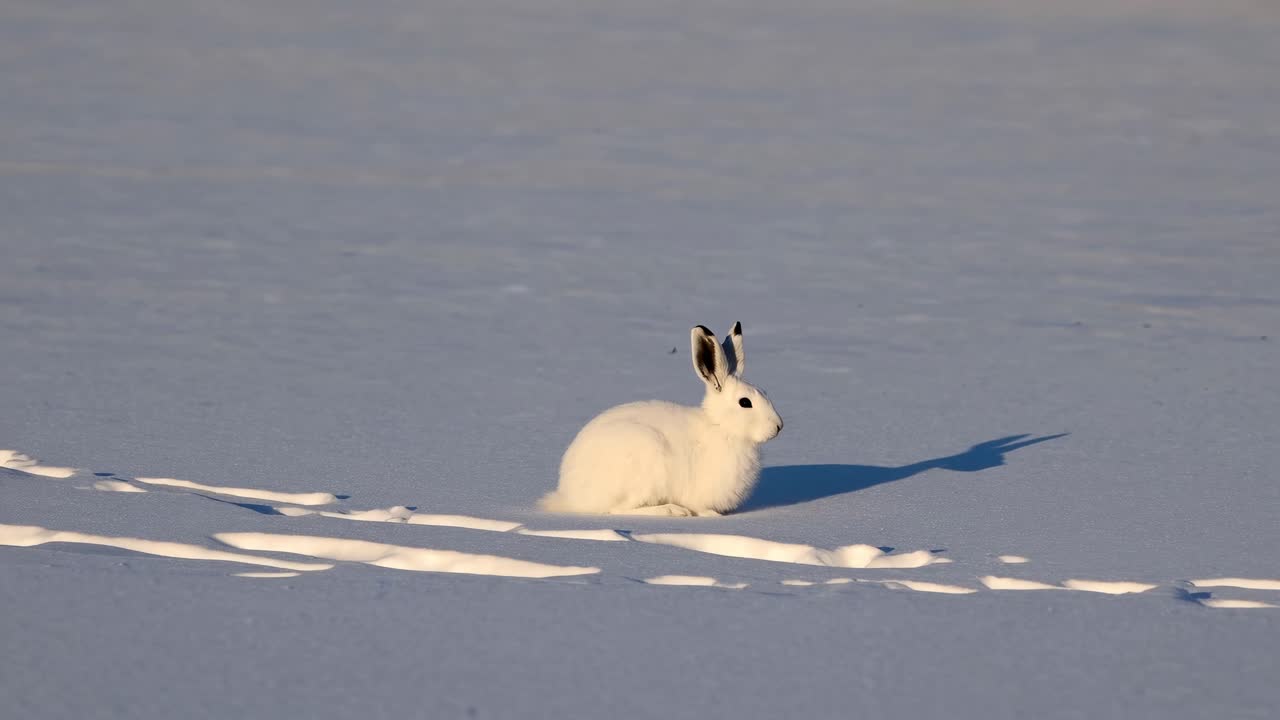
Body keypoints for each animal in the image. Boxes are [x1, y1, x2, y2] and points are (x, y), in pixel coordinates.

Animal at [540, 322, 782, 517]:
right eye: (745, 403)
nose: (778, 426)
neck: (721, 427)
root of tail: (571, 495)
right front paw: (711, 515)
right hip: (645, 469)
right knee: (619, 509)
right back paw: (672, 510)